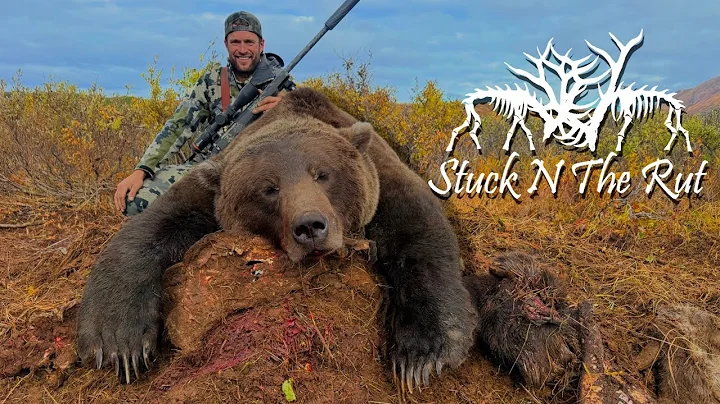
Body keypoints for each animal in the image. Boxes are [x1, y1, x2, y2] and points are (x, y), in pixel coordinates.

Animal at [77, 87, 478, 392]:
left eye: (323, 174)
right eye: (269, 189)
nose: (311, 226)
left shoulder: (381, 174)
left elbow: (419, 231)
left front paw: (421, 355)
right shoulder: (209, 187)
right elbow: (152, 227)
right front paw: (120, 342)